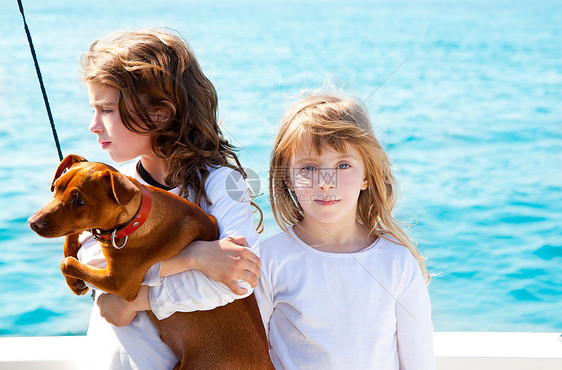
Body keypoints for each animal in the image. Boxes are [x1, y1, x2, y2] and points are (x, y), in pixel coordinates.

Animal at [28, 155, 274, 370]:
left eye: (79, 201)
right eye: (56, 187)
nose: (32, 222)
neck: (135, 217)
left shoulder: (119, 282)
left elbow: (68, 263)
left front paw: (74, 280)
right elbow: (71, 240)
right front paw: (74, 278)